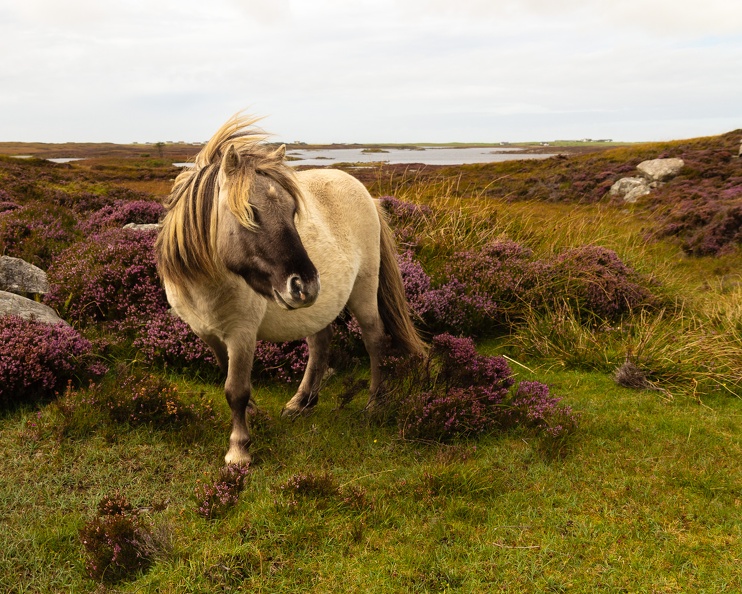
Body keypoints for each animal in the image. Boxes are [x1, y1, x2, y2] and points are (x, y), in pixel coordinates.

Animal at [155, 114, 426, 465]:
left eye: (293, 212)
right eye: (250, 212)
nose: (305, 283)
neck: (206, 284)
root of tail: (365, 192)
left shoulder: (242, 334)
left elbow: (236, 389)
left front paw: (239, 451)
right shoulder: (208, 334)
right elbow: (227, 376)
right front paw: (255, 416)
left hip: (364, 290)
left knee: (374, 339)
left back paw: (374, 403)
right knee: (321, 343)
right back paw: (302, 402)